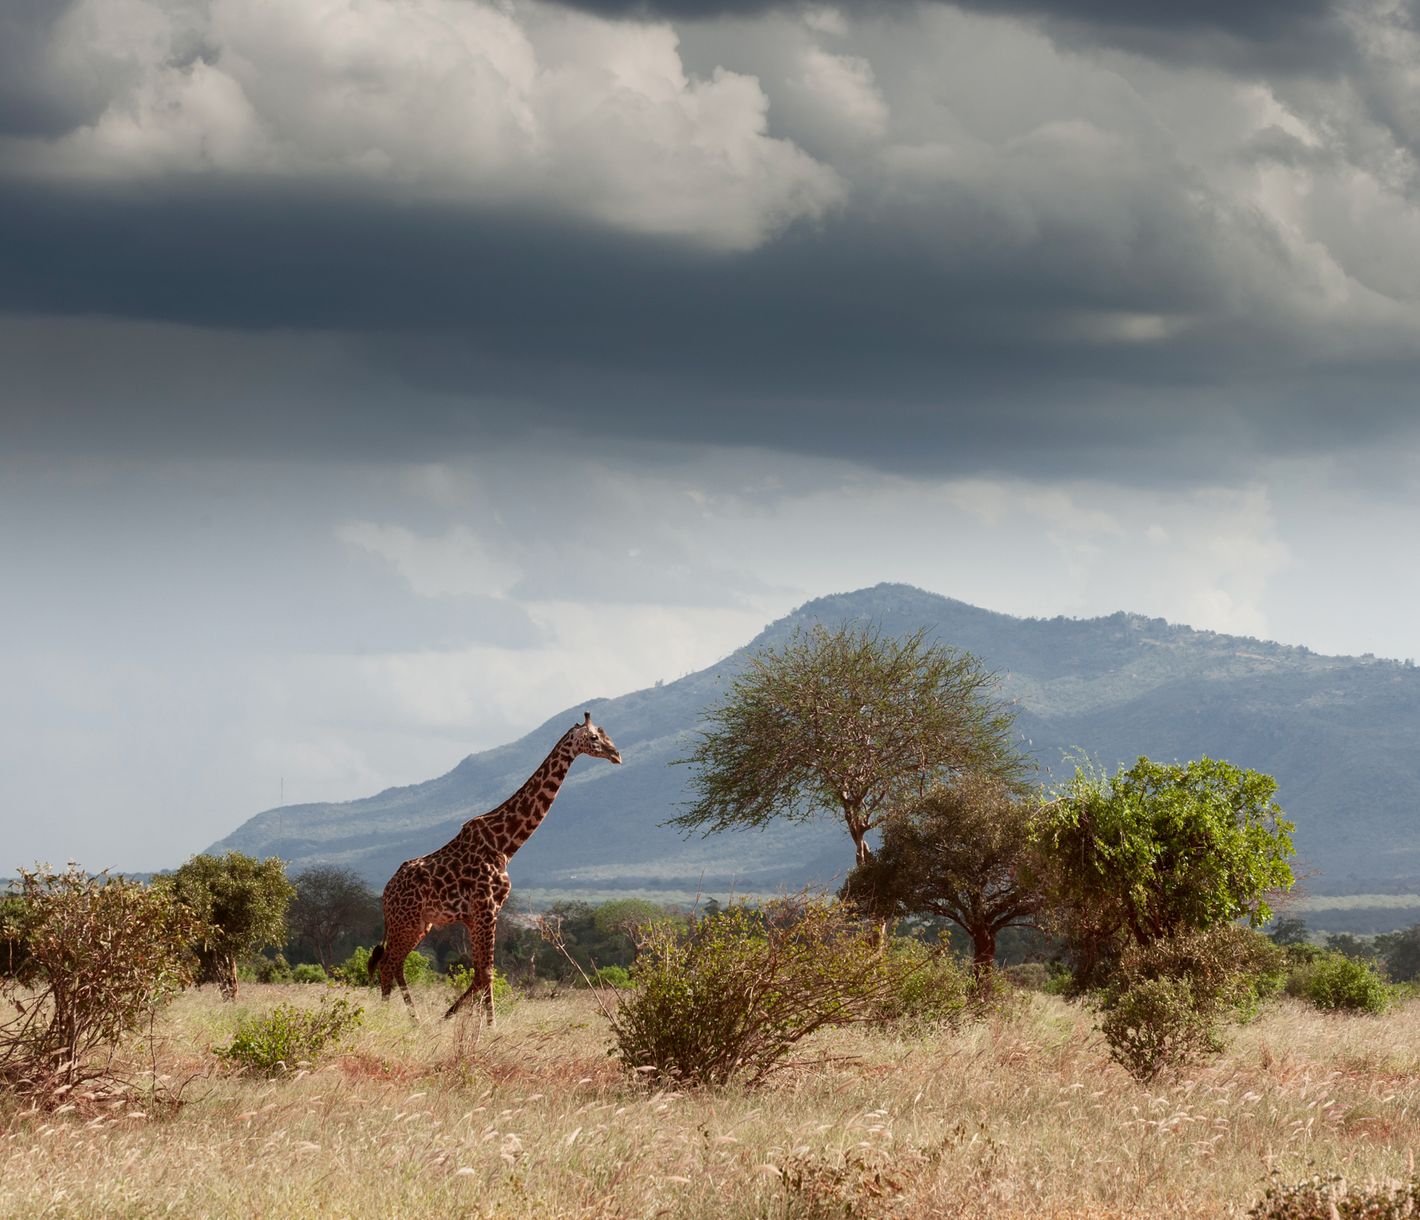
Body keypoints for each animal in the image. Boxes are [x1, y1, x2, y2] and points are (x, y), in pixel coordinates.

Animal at [368, 712, 622, 1023]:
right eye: (594, 737)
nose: (616, 755)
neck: (505, 844)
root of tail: (386, 892)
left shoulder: (480, 914)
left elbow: (481, 973)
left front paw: (458, 1019)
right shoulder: (486, 908)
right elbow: (487, 973)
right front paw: (487, 1026)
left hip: (419, 923)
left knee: (395, 963)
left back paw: (414, 1020)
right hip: (407, 921)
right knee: (388, 963)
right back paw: (393, 1017)